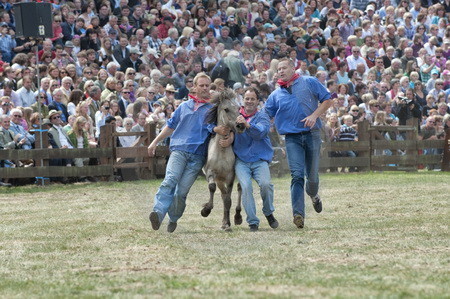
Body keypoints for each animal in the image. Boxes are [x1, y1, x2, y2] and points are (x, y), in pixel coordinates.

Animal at [202, 88, 246, 231]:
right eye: (226, 109)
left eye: (239, 108)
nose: (241, 125)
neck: (221, 151)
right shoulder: (211, 173)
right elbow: (212, 188)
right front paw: (206, 210)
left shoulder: (230, 176)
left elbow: (228, 200)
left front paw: (227, 224)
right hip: (219, 180)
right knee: (222, 194)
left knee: (238, 189)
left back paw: (236, 217)